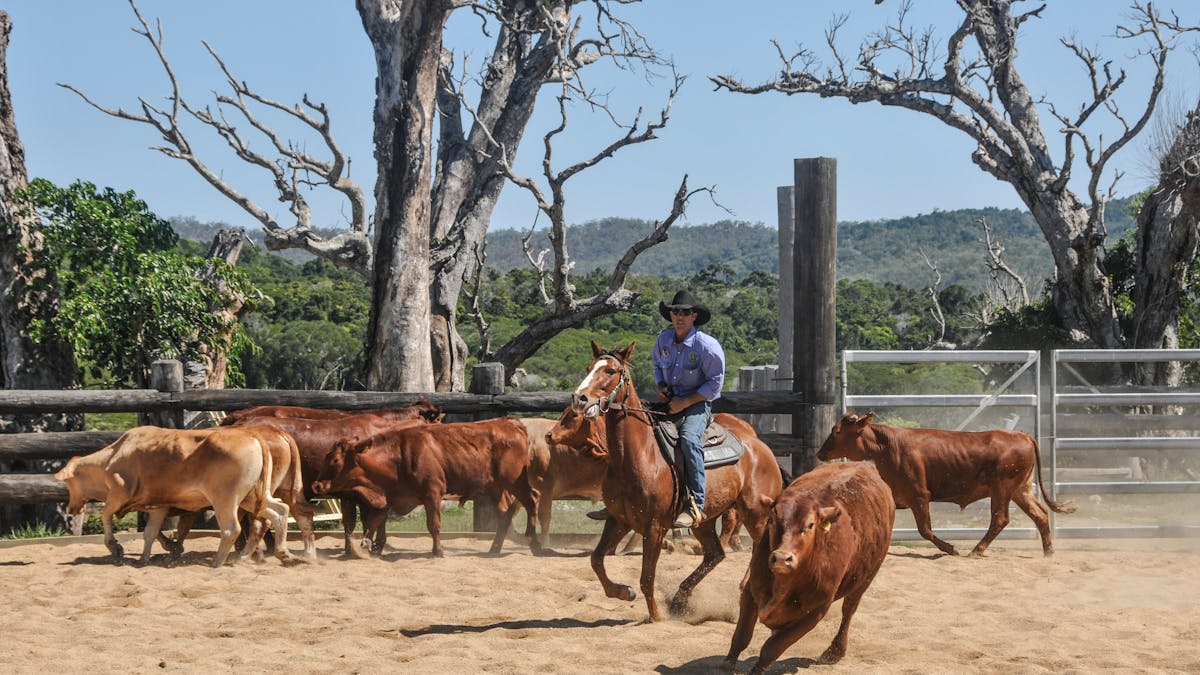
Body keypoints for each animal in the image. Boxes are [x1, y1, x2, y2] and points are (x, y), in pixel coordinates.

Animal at [54, 426, 292, 567]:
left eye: (69, 483)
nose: (71, 509)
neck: (113, 458)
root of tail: (253, 436)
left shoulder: (118, 495)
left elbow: (106, 516)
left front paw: (115, 547)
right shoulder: (158, 505)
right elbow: (150, 532)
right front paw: (145, 558)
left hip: (225, 498)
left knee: (232, 529)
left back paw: (217, 561)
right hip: (252, 496)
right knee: (280, 511)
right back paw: (281, 553)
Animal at [311, 417, 541, 557]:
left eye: (334, 461)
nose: (316, 484)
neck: (399, 457)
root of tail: (512, 424)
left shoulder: (432, 494)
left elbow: (434, 525)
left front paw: (438, 551)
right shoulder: (390, 497)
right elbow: (375, 522)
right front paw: (366, 546)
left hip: (515, 481)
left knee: (532, 500)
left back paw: (534, 541)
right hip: (495, 488)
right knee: (506, 513)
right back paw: (495, 547)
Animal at [725, 461, 895, 671]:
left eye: (811, 525)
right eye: (771, 519)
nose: (782, 558)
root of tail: (866, 464)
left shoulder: (815, 611)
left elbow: (772, 648)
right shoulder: (750, 591)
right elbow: (741, 636)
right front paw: (728, 664)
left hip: (866, 578)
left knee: (849, 610)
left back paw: (834, 651)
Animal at [818, 412, 1076, 557]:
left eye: (837, 431)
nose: (821, 453)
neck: (886, 448)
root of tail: (1022, 436)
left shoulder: (919, 495)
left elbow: (925, 529)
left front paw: (950, 548)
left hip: (1002, 489)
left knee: (1000, 519)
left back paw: (976, 550)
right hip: (1021, 490)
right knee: (1040, 515)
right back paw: (1049, 551)